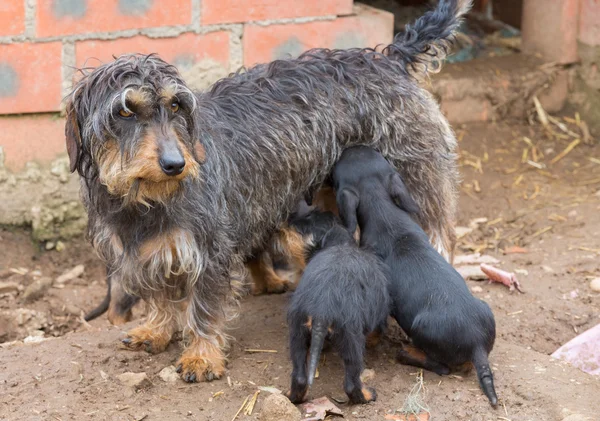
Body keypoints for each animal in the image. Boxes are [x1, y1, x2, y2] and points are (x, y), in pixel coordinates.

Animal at [332, 146, 496, 406]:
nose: (353, 145)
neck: (384, 212)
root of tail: (477, 345)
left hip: (421, 329)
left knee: (442, 366)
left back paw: (407, 353)